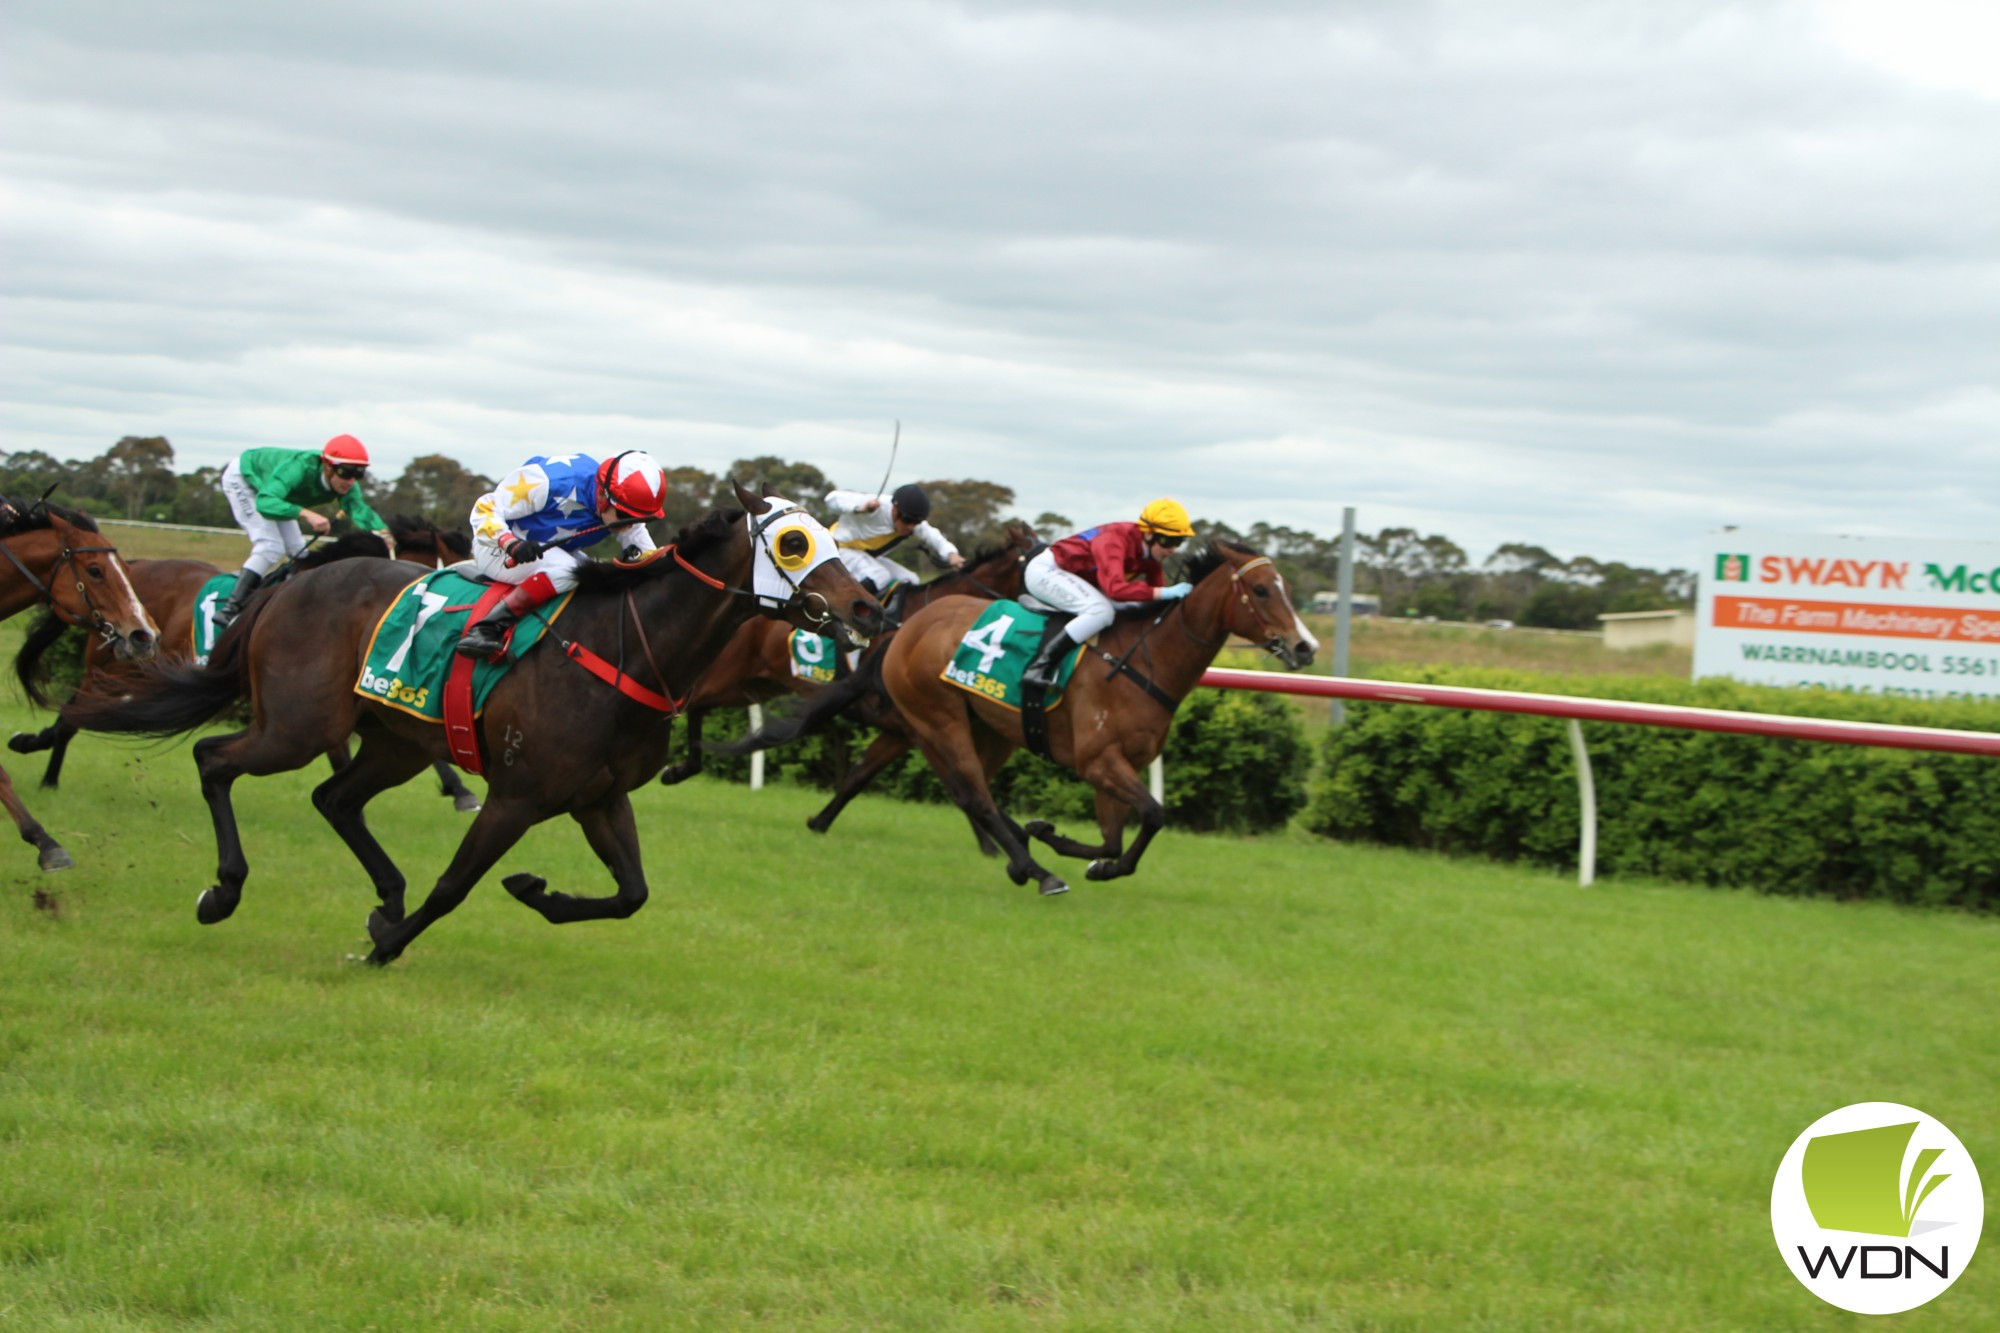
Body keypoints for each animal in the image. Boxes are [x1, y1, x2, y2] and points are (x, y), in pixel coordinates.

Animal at [11, 510, 484, 804]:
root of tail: (133, 568)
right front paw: (461, 792)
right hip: (112, 664)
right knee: (75, 712)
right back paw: (44, 765)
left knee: (80, 712)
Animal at [60, 482, 884, 960]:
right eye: (794, 542)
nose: (868, 606)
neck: (625, 647)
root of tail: (291, 584)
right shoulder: (518, 795)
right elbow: (455, 885)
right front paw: (387, 946)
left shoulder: (597, 797)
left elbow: (631, 894)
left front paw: (532, 891)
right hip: (297, 726)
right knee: (215, 760)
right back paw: (224, 892)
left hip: (392, 739)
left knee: (334, 798)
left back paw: (383, 893)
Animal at [656, 512, 1040, 824]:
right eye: (1039, 565)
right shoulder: (919, 727)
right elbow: (964, 785)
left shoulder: (901, 731)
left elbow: (858, 777)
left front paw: (819, 822)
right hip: (729, 674)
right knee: (689, 702)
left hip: (750, 685)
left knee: (699, 706)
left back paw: (681, 768)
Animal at [868, 536, 1320, 892]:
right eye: (1261, 590)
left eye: (1286, 587)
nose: (1305, 647)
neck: (1145, 662)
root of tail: (909, 626)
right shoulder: (1098, 761)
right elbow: (1155, 813)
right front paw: (1079, 856)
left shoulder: (1120, 763)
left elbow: (1113, 839)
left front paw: (1072, 848)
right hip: (940, 719)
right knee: (977, 797)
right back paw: (1039, 872)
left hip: (988, 727)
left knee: (973, 793)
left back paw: (1020, 855)